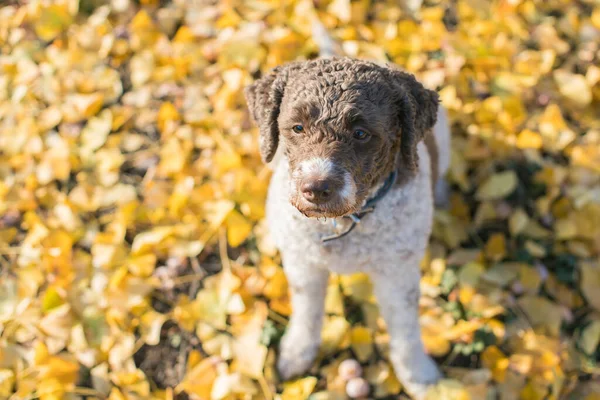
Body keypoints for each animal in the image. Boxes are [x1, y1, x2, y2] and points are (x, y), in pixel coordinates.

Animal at [245, 57, 450, 400]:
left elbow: (406, 329)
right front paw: (297, 354)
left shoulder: (397, 273)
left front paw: (419, 376)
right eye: (297, 127)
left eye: (361, 133)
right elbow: (307, 311)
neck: (346, 221)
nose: (316, 188)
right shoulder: (303, 264)